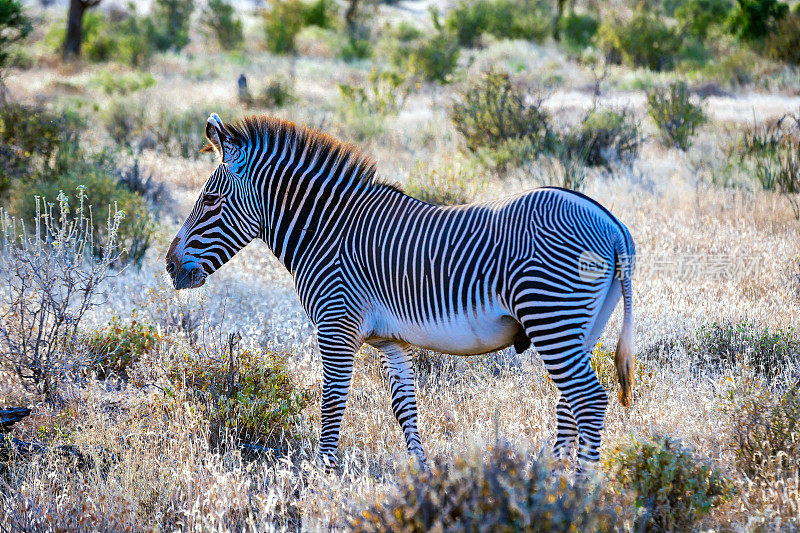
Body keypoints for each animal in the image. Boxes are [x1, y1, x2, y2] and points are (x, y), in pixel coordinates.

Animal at [166, 114, 636, 468]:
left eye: (209, 200)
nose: (170, 265)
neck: (326, 231)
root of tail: (612, 225)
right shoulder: (390, 341)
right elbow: (404, 407)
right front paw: (421, 475)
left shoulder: (335, 327)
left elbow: (332, 403)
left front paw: (322, 477)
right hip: (581, 326)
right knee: (569, 403)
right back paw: (555, 480)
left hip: (551, 316)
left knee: (589, 400)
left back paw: (580, 489)